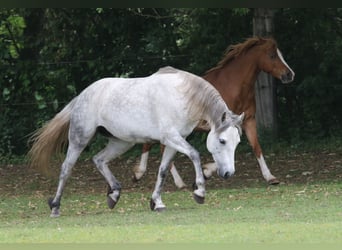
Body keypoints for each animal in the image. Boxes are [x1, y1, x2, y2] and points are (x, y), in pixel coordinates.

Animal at [133, 36, 294, 187]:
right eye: (272, 55)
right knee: (155, 145)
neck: (234, 87)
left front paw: (270, 177)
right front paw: (206, 172)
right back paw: (161, 178)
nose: (290, 74)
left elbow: (256, 147)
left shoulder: (249, 121)